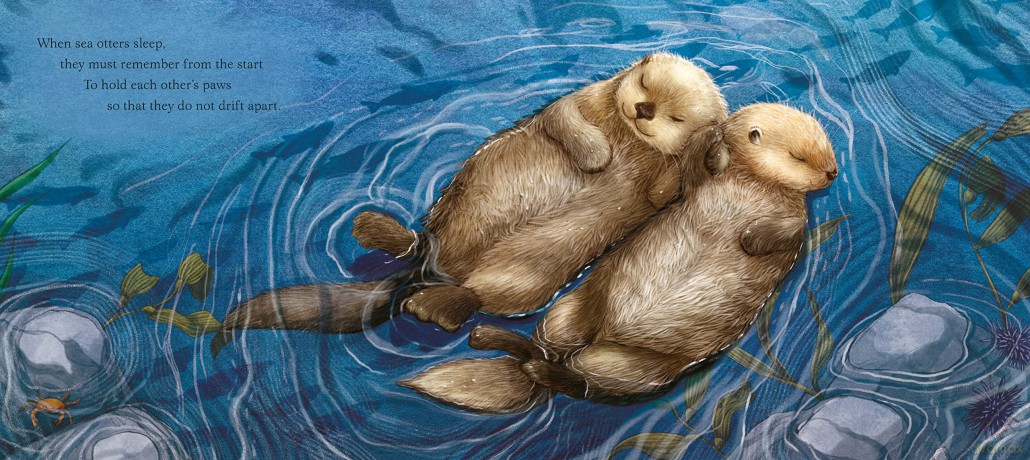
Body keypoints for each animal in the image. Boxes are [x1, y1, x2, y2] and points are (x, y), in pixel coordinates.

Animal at [222, 53, 728, 334]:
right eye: (644, 84)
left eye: (676, 116)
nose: (643, 110)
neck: (628, 138)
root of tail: (433, 271)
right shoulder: (582, 98)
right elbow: (564, 118)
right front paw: (595, 156)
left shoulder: (664, 176)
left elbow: (665, 190)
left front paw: (693, 151)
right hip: (450, 214)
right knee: (422, 242)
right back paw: (373, 228)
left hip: (523, 284)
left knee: (477, 298)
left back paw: (431, 308)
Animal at [400, 103, 839, 413]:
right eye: (800, 156)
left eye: (825, 149)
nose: (833, 172)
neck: (753, 184)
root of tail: (601, 337)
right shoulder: (695, 184)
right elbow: (690, 175)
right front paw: (711, 137)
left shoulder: (796, 218)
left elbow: (788, 230)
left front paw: (751, 237)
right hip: (571, 311)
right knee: (555, 356)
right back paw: (495, 341)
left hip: (637, 367)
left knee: (578, 381)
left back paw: (508, 351)